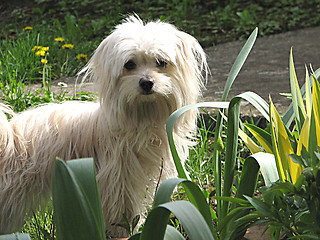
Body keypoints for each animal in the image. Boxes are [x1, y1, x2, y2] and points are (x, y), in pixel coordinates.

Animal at [0, 15, 208, 237]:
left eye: (161, 62)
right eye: (129, 64)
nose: (146, 82)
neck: (142, 120)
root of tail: (8, 135)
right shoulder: (117, 182)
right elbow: (121, 214)